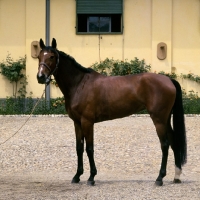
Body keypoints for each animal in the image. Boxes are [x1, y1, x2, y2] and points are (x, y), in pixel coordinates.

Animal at [36, 38, 187, 186]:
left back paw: (160, 178)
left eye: (52, 56)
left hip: (159, 120)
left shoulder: (87, 122)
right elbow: (79, 148)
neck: (79, 84)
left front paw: (91, 177)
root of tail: (168, 79)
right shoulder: (77, 123)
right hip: (165, 119)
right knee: (174, 142)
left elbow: (89, 148)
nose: (40, 77)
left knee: (165, 145)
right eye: (38, 56)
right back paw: (176, 176)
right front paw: (77, 176)